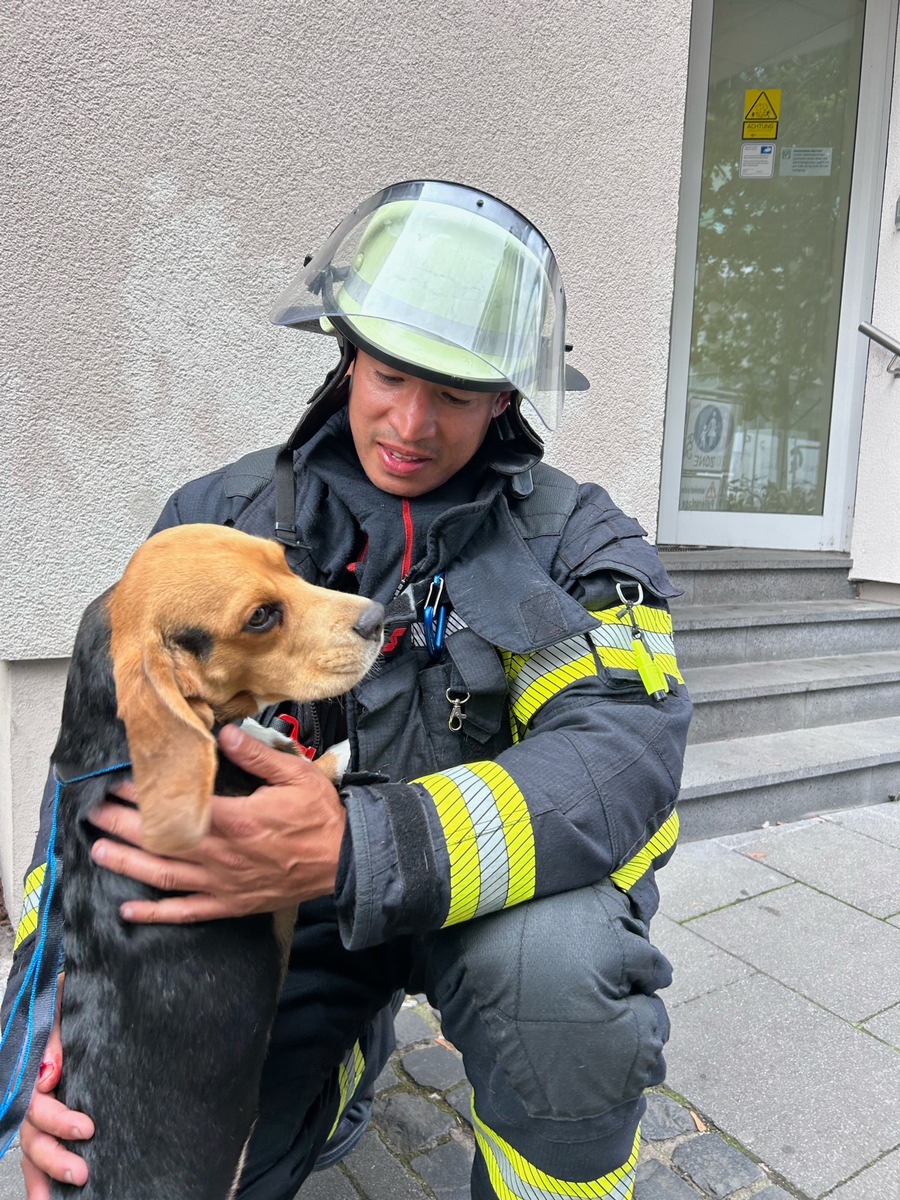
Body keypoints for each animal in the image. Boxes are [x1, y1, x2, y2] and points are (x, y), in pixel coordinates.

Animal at [48, 528, 384, 1200]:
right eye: (260, 617)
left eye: (286, 563)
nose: (382, 617)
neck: (113, 756)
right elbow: (314, 769)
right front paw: (334, 754)